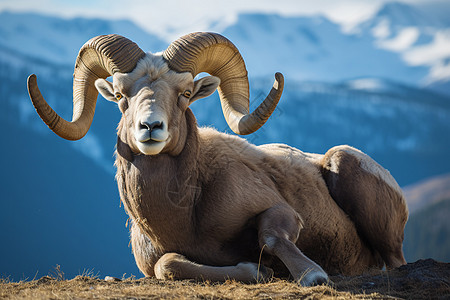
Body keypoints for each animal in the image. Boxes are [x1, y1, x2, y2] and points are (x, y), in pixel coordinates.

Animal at [27, 32, 408, 286]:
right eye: (121, 96)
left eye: (185, 93)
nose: (150, 127)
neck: (186, 216)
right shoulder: (157, 263)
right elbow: (168, 265)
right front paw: (256, 270)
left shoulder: (282, 212)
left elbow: (271, 237)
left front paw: (311, 274)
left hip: (348, 168)